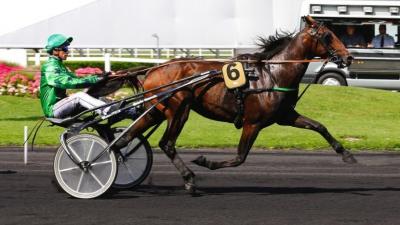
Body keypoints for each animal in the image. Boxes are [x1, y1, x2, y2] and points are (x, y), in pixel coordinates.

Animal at [107, 15, 356, 192]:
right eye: (328, 36)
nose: (349, 57)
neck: (272, 75)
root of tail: (152, 69)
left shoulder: (285, 116)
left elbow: (319, 126)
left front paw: (346, 154)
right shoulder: (252, 123)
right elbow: (239, 157)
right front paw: (205, 161)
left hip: (157, 111)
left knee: (127, 138)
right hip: (179, 108)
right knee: (166, 143)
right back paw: (189, 178)